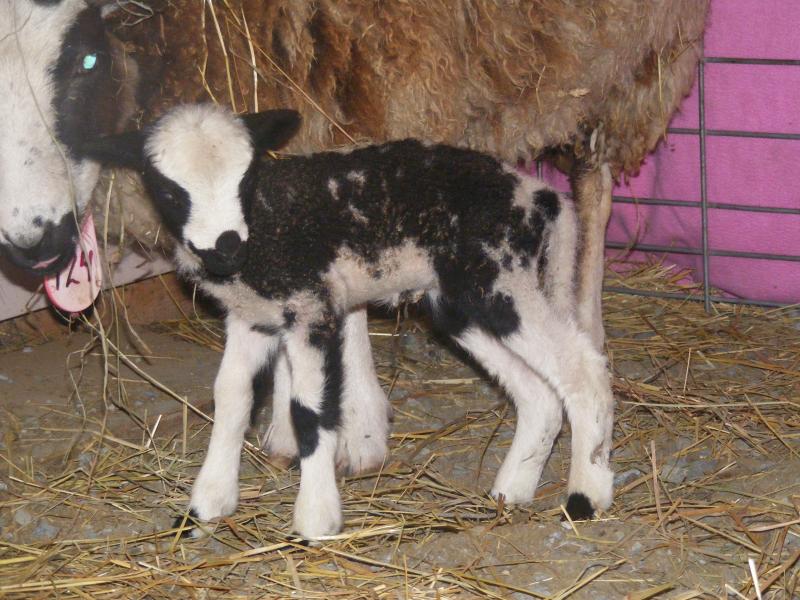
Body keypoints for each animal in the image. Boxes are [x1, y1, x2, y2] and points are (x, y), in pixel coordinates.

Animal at [84, 103, 616, 539]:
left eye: (246, 177)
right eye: (170, 191)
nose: (226, 247)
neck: (266, 225)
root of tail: (541, 196)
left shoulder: (311, 310)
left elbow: (308, 412)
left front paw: (315, 520)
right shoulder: (252, 319)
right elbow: (231, 399)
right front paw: (205, 506)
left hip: (502, 279)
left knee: (582, 369)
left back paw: (585, 495)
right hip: (461, 302)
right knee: (539, 393)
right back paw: (511, 490)